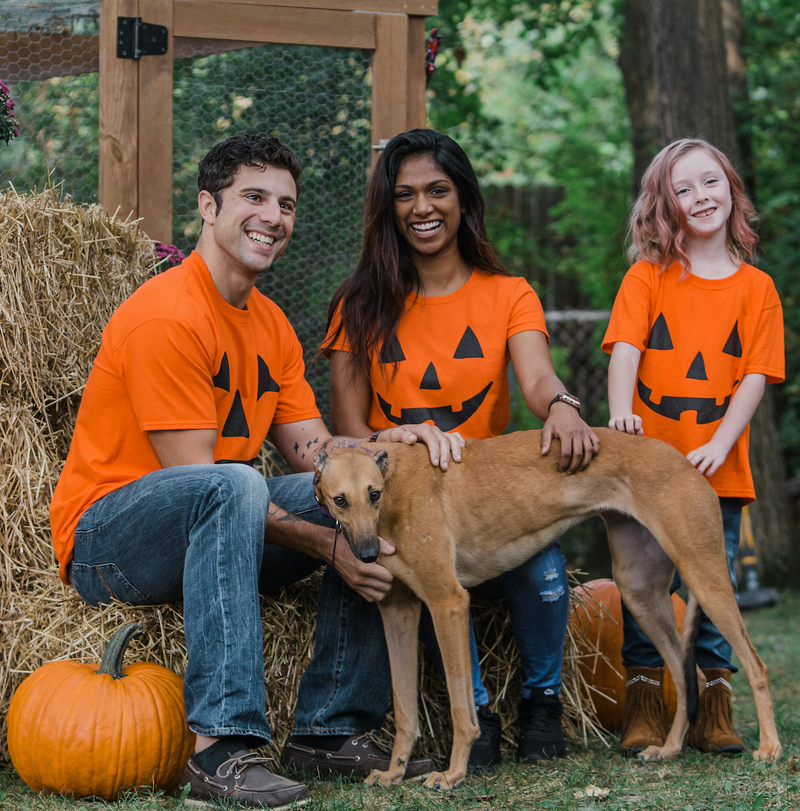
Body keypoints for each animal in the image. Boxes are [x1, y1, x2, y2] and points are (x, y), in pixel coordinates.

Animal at [312, 428, 780, 788]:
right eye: (340, 500)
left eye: (373, 494)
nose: (368, 554)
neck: (395, 484)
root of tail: (688, 463)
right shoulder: (399, 612)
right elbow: (407, 711)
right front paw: (394, 774)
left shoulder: (447, 601)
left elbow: (462, 708)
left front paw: (454, 774)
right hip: (640, 593)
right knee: (684, 675)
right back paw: (669, 749)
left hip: (706, 577)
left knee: (756, 665)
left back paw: (770, 748)